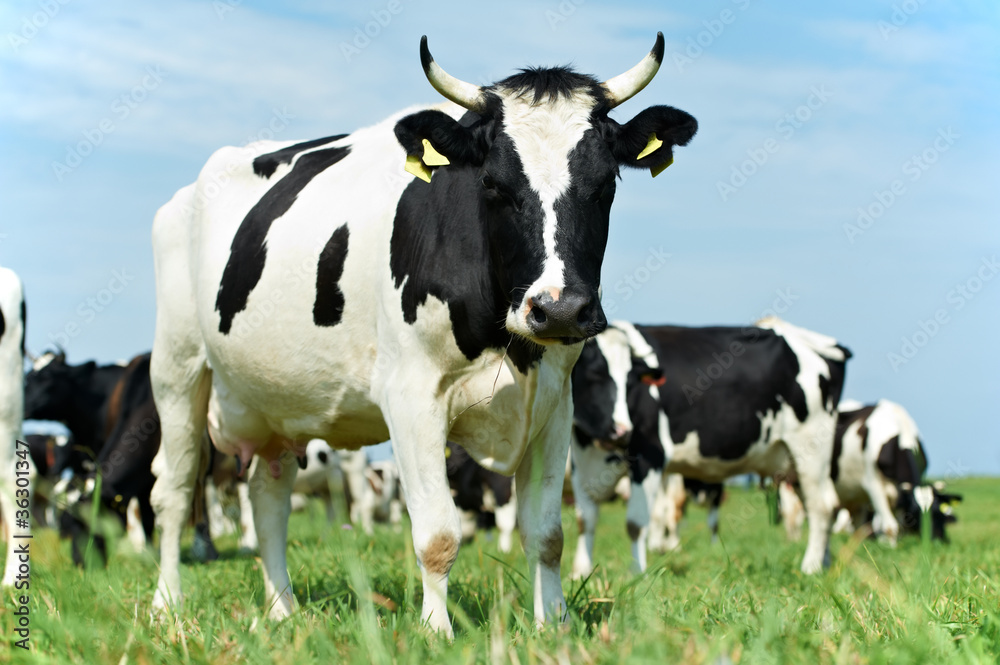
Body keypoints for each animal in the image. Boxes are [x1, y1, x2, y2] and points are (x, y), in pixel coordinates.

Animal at [148, 35, 700, 632]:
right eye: (492, 184)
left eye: (605, 184)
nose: (557, 309)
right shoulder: (410, 396)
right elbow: (438, 534)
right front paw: (436, 631)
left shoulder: (556, 403)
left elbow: (547, 534)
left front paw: (553, 626)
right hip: (176, 370)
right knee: (173, 491)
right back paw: (166, 606)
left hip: (274, 398)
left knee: (267, 495)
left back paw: (282, 611)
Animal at [572, 316, 852, 576]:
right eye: (593, 376)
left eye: (630, 382)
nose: (622, 431)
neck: (595, 443)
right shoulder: (580, 456)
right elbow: (585, 519)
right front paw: (580, 573)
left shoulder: (650, 454)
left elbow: (636, 523)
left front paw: (636, 575)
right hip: (794, 465)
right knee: (820, 506)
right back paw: (824, 563)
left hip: (811, 448)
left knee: (822, 506)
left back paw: (810, 567)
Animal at [828, 396, 960, 544]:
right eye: (915, 513)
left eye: (938, 512)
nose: (938, 540)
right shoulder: (873, 485)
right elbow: (891, 526)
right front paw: (891, 546)